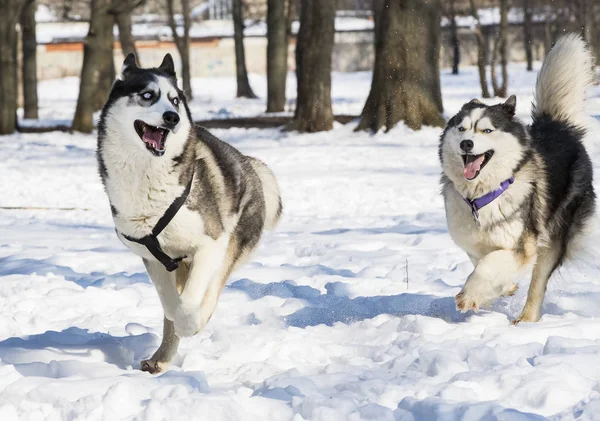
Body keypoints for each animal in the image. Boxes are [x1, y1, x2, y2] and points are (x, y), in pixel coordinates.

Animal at [97, 54, 282, 372]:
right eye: (148, 95)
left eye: (175, 100)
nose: (172, 117)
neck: (147, 176)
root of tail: (249, 165)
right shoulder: (153, 258)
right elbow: (170, 304)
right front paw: (177, 324)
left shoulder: (210, 244)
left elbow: (189, 301)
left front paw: (190, 323)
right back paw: (161, 357)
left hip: (230, 244)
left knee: (212, 289)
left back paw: (197, 321)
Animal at [438, 34, 596, 322]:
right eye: (462, 129)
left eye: (487, 130)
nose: (466, 144)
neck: (482, 196)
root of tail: (557, 125)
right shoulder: (473, 242)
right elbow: (483, 261)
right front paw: (502, 288)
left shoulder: (523, 245)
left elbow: (488, 265)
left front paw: (470, 294)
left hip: (553, 236)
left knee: (538, 283)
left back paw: (525, 320)